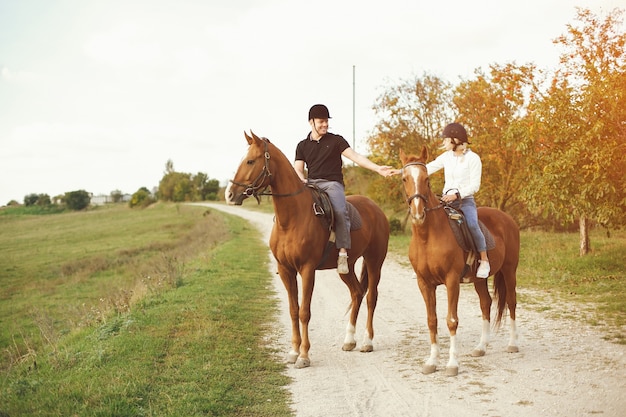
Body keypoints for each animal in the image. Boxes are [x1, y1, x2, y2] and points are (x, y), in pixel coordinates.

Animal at [224, 131, 390, 368]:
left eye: (250, 161)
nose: (229, 195)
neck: (293, 217)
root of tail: (376, 208)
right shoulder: (286, 270)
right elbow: (293, 310)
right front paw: (294, 351)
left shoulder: (307, 269)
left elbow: (304, 312)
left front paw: (304, 355)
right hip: (346, 267)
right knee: (357, 293)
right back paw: (349, 340)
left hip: (375, 261)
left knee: (371, 297)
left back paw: (367, 342)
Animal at [398, 148, 520, 376]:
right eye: (404, 179)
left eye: (426, 179)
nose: (418, 213)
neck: (428, 237)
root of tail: (507, 219)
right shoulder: (424, 283)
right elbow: (432, 321)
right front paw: (431, 362)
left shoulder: (452, 281)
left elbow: (451, 321)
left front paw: (452, 364)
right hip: (480, 279)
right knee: (486, 303)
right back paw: (481, 347)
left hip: (510, 271)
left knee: (511, 302)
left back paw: (513, 344)